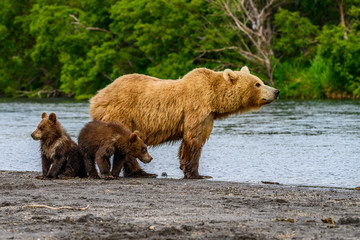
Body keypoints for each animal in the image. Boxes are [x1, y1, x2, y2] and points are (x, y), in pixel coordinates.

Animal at [88, 66, 280, 179]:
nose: (276, 91)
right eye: (257, 84)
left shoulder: (208, 116)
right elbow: (194, 140)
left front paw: (184, 166)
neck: (214, 99)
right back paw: (141, 172)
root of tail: (97, 97)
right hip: (122, 114)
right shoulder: (196, 109)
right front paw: (197, 173)